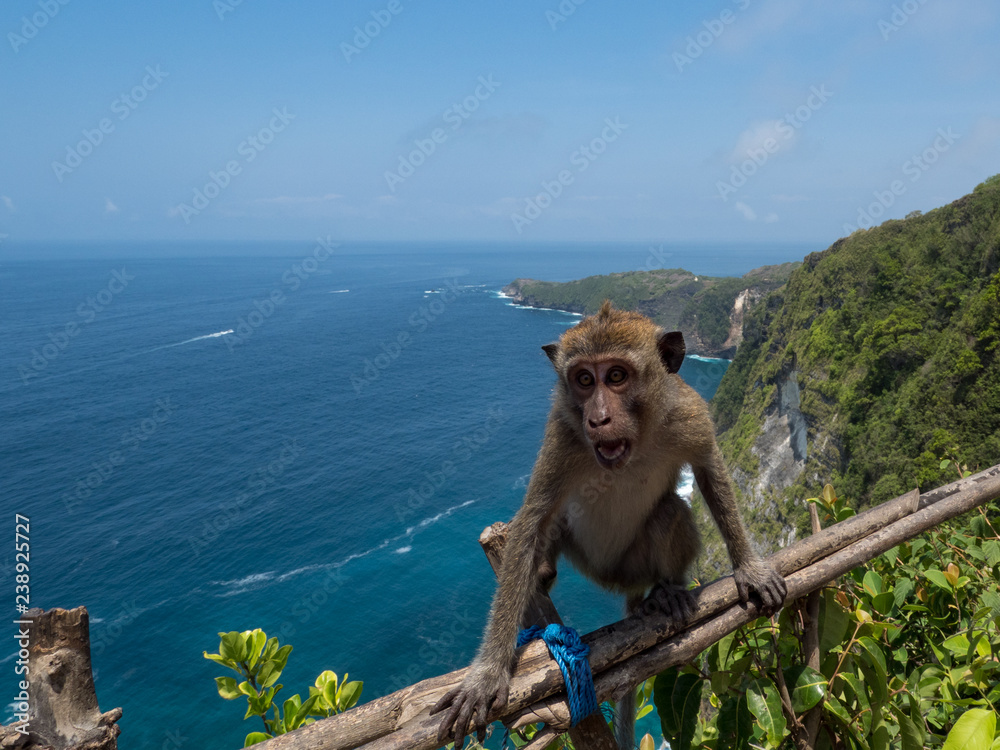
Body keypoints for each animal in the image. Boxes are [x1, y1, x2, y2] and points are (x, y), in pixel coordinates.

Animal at [432, 300, 786, 749]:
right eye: (584, 379)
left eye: (616, 376)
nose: (598, 419)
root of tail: (624, 585)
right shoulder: (562, 435)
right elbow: (530, 521)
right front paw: (488, 673)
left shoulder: (689, 413)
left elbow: (711, 473)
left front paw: (749, 568)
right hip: (596, 565)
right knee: (551, 527)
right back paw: (545, 571)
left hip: (634, 567)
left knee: (671, 510)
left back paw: (665, 592)